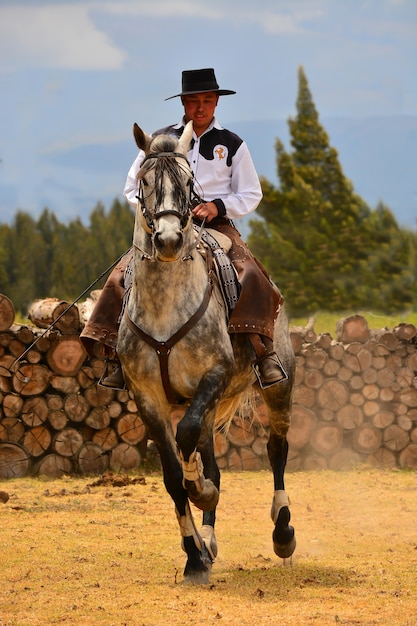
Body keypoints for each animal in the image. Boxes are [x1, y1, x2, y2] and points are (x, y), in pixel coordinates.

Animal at [115, 119, 294, 584]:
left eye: (188, 181)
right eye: (144, 182)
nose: (168, 239)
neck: (165, 305)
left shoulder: (212, 377)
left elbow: (188, 440)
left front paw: (202, 493)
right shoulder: (147, 399)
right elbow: (173, 476)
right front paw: (194, 556)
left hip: (277, 387)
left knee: (277, 449)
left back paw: (283, 532)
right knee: (212, 458)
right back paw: (208, 541)